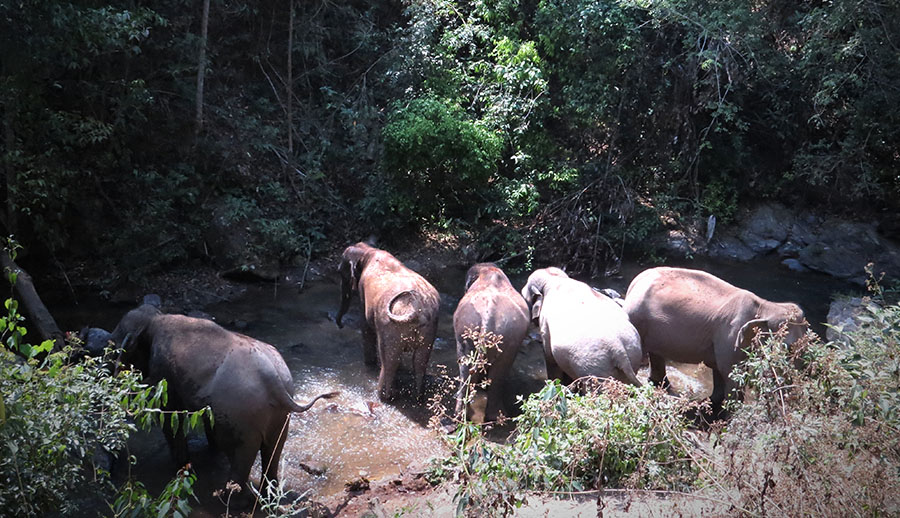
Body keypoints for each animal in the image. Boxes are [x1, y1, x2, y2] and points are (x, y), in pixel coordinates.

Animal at [111, 304, 338, 504]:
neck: (155, 319)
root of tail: (273, 379)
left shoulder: (164, 374)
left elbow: (170, 415)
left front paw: (179, 466)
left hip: (242, 417)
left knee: (238, 455)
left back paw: (229, 500)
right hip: (279, 417)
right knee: (272, 451)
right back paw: (268, 495)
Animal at [334, 243, 440, 402]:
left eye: (340, 272)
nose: (340, 325)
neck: (368, 251)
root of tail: (416, 309)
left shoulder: (363, 292)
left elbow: (366, 327)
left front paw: (369, 365)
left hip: (390, 325)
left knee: (389, 361)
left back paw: (383, 397)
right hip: (429, 326)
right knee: (420, 361)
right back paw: (418, 397)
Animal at [624, 268, 808, 414]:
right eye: (788, 347)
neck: (765, 306)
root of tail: (634, 283)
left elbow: (720, 371)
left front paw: (714, 403)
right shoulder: (730, 338)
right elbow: (731, 374)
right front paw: (732, 416)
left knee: (656, 354)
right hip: (638, 321)